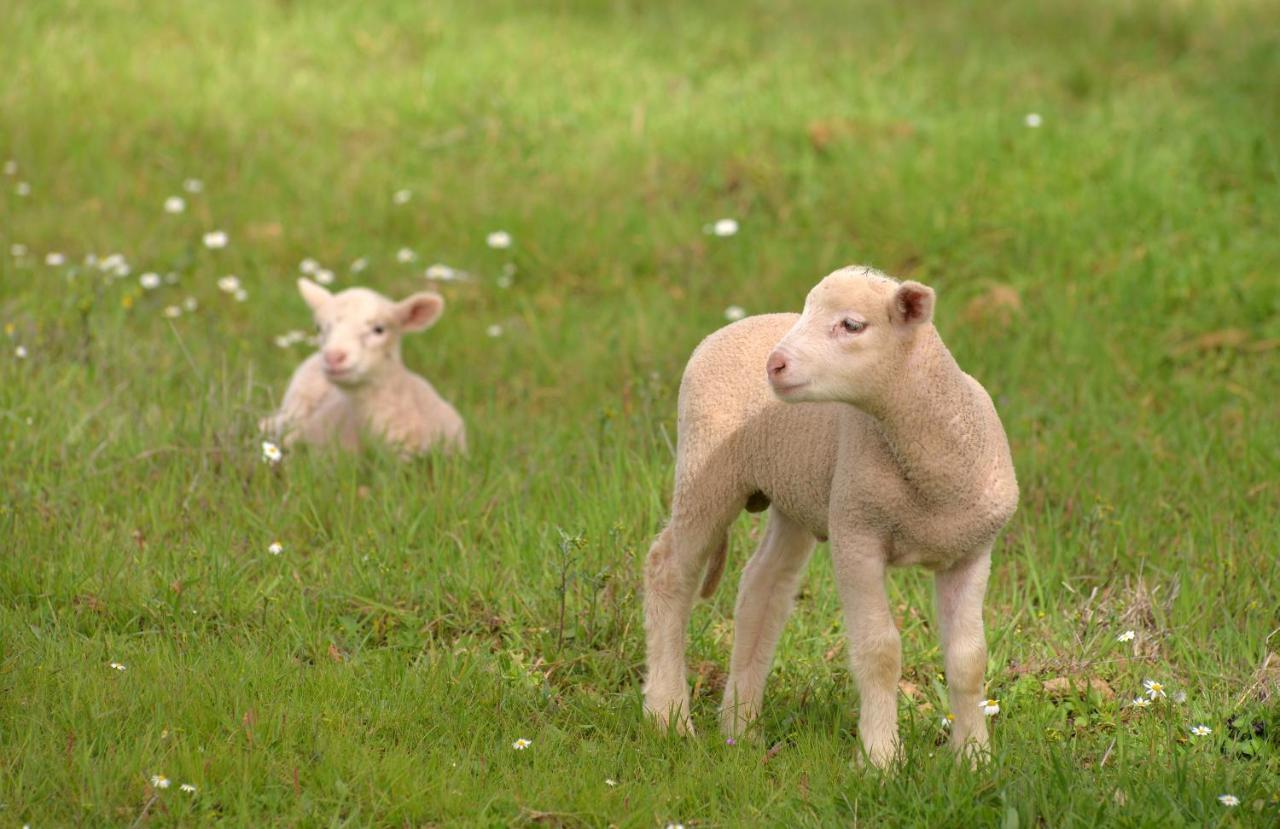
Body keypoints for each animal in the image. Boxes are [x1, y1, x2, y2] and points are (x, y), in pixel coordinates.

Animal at [645, 263, 1013, 762]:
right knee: (669, 571)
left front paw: (973, 757)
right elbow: (879, 652)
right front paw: (881, 758)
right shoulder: (857, 534)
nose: (774, 364)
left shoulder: (972, 551)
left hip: (794, 494)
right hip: (707, 471)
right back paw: (668, 717)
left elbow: (969, 658)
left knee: (762, 588)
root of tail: (728, 329)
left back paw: (741, 728)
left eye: (851, 325)